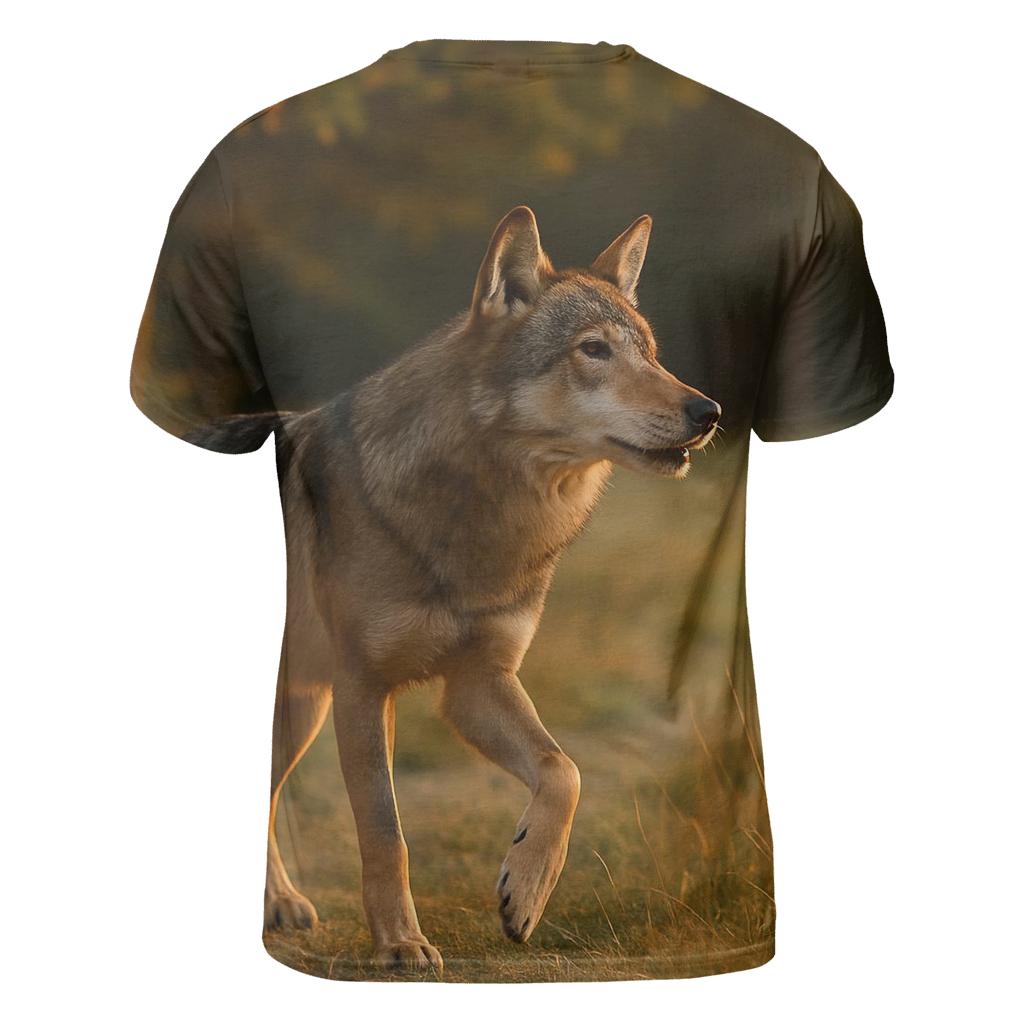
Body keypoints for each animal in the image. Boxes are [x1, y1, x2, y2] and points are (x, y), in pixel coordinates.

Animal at [206, 206, 720, 970]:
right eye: (593, 350)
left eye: (651, 353)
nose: (709, 411)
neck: (480, 525)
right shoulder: (366, 689)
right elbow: (386, 834)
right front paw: (401, 944)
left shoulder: (476, 681)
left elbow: (563, 772)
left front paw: (525, 893)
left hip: (300, 709)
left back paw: (278, 903)